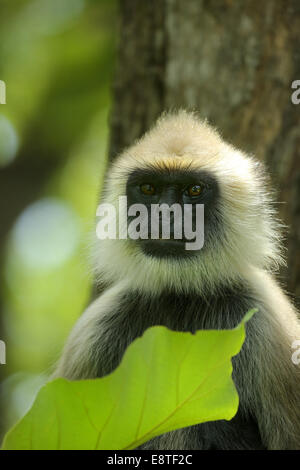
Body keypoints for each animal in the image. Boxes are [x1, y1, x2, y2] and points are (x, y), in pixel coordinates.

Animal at [54, 111, 300, 452]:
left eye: (194, 191)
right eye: (148, 189)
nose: (164, 214)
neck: (181, 297)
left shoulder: (268, 321)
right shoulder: (93, 334)